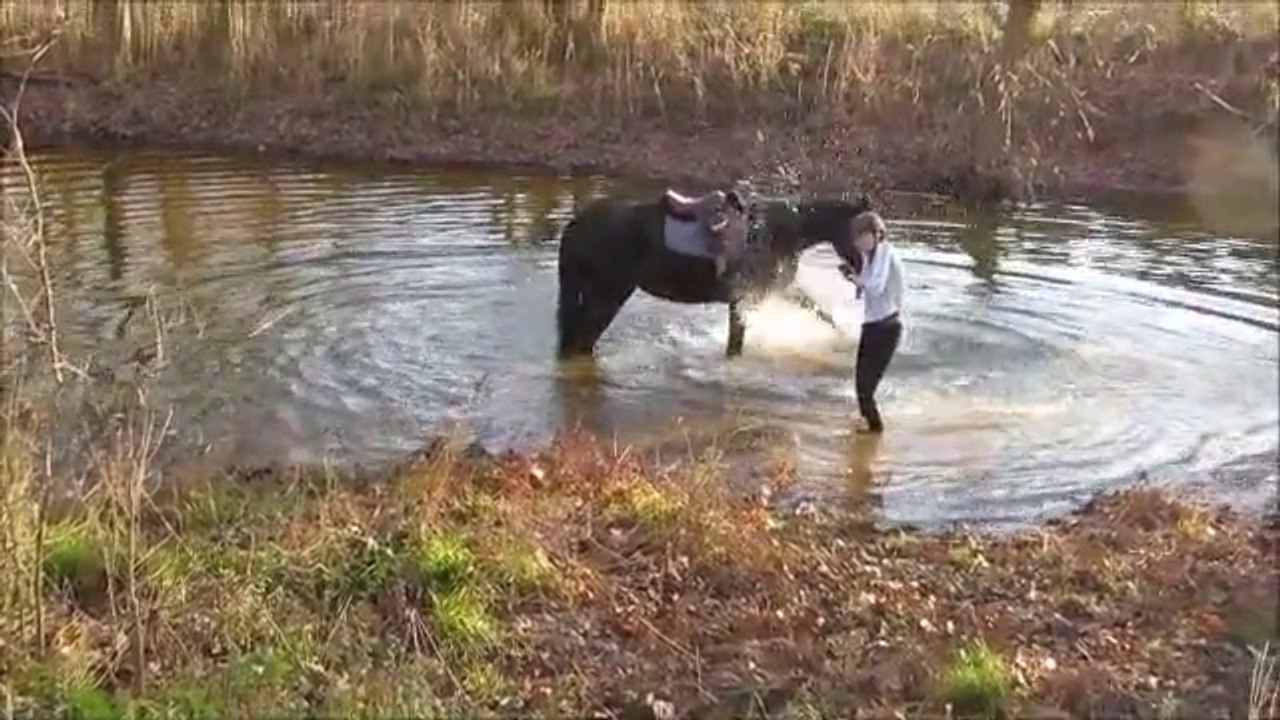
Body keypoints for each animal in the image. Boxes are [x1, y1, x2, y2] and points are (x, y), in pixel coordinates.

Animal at [555, 188, 872, 359]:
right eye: (869, 232)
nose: (860, 274)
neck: (779, 231)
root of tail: (576, 224)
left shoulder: (779, 291)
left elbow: (823, 314)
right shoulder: (743, 301)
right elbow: (736, 345)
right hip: (608, 297)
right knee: (581, 342)